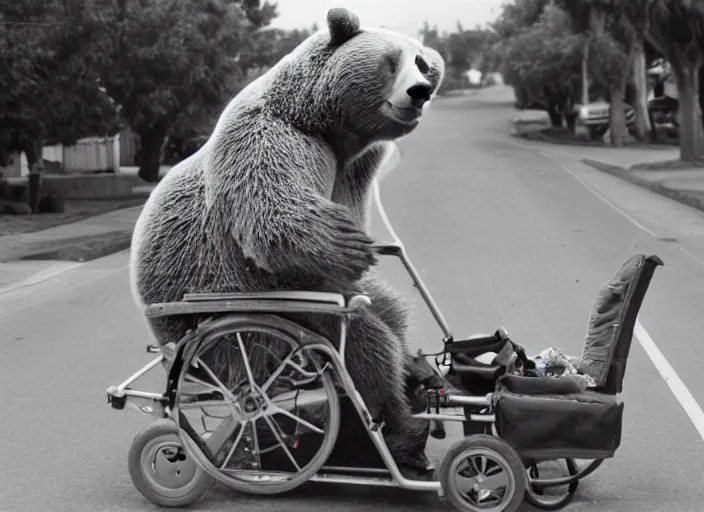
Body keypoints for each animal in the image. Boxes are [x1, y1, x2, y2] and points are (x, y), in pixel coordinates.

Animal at [129, 7, 442, 476]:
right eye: (389, 61)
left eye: (423, 63)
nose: (419, 91)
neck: (330, 127)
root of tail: (172, 349)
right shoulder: (275, 139)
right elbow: (272, 219)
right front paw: (349, 242)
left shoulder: (354, 169)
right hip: (258, 326)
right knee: (363, 343)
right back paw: (403, 426)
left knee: (389, 310)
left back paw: (417, 370)